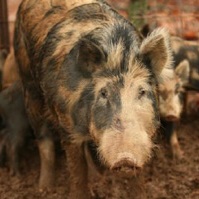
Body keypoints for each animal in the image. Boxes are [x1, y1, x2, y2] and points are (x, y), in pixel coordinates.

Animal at [13, 0, 173, 197]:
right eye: (103, 93)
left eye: (142, 91)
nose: (125, 158)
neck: (119, 53)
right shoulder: (68, 127)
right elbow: (77, 171)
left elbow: (138, 180)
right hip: (28, 83)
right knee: (43, 139)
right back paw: (44, 188)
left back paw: (96, 177)